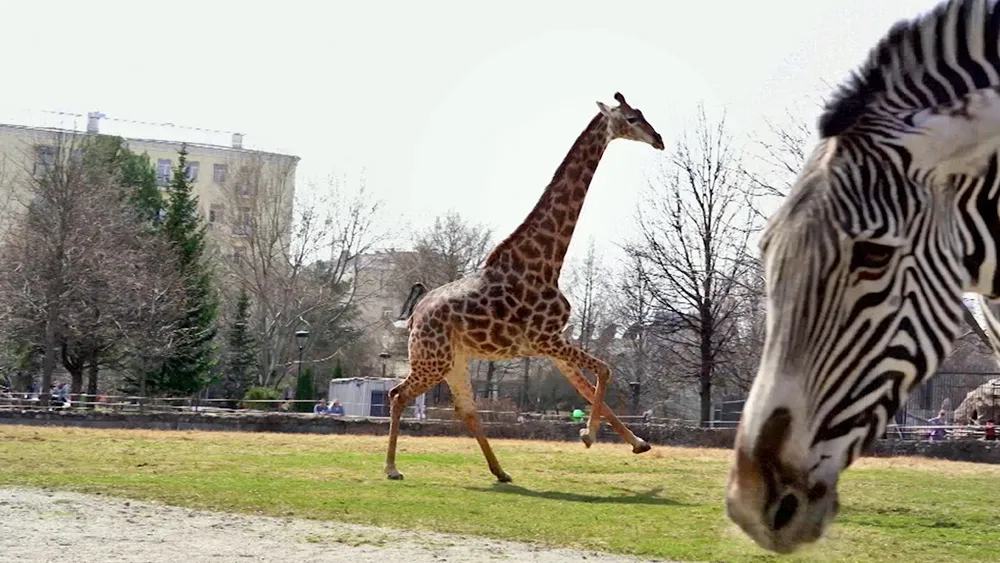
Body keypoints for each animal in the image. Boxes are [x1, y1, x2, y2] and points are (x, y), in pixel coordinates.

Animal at [388, 94, 664, 482]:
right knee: (398, 395)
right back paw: (391, 468)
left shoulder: (551, 342)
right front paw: (589, 435)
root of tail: (413, 318)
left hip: (453, 360)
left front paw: (637, 442)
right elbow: (604, 371)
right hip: (432, 359)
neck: (547, 262)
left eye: (641, 114)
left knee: (466, 409)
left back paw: (501, 472)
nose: (659, 139)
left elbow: (587, 384)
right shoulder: (547, 339)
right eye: (632, 118)